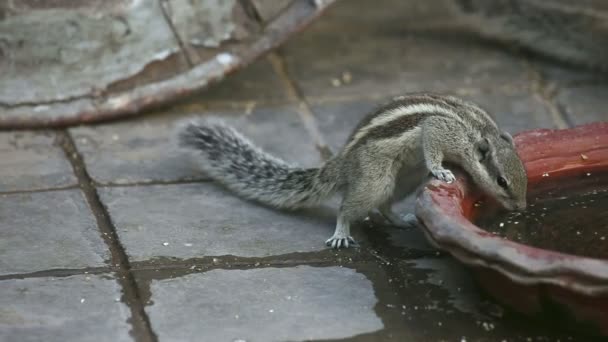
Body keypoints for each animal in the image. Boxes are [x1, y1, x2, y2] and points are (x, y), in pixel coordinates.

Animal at [177, 93, 528, 248]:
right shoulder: (440, 130)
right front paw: (440, 171)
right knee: (350, 206)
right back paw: (341, 232)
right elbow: (431, 143)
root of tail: (343, 161)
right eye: (502, 181)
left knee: (385, 205)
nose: (521, 207)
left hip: (404, 179)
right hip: (375, 178)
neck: (479, 132)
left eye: (523, 177)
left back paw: (400, 219)